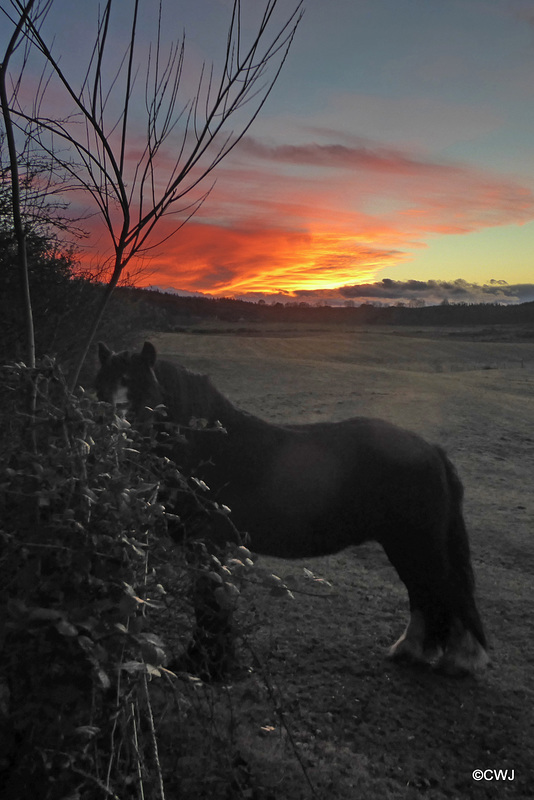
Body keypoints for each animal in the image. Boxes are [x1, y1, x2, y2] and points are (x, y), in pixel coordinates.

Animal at [95, 340, 490, 676]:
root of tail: (430, 449)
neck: (211, 448)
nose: (114, 441)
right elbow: (209, 601)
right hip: (405, 544)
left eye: (145, 393)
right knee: (424, 593)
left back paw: (458, 659)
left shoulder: (208, 544)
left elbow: (208, 602)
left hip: (415, 543)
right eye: (101, 388)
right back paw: (411, 651)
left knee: (444, 590)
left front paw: (204, 665)